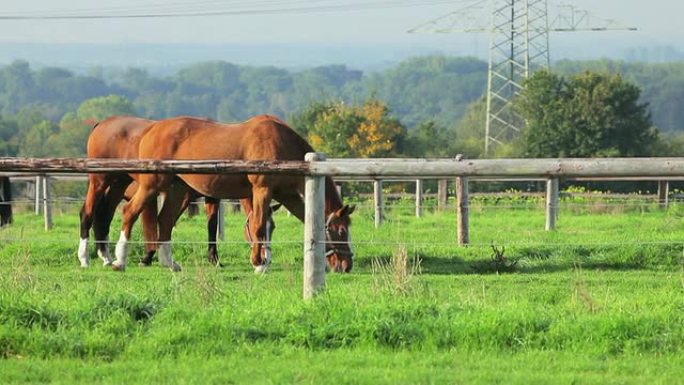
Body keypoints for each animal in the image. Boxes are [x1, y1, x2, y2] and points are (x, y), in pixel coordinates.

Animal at [113, 115, 356, 272]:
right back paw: (119, 260)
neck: (280, 144)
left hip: (178, 189)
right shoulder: (261, 191)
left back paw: (169, 263)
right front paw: (259, 264)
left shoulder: (288, 196)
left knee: (164, 221)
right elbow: (257, 226)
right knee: (130, 212)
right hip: (152, 184)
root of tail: (150, 130)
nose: (346, 265)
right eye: (340, 231)